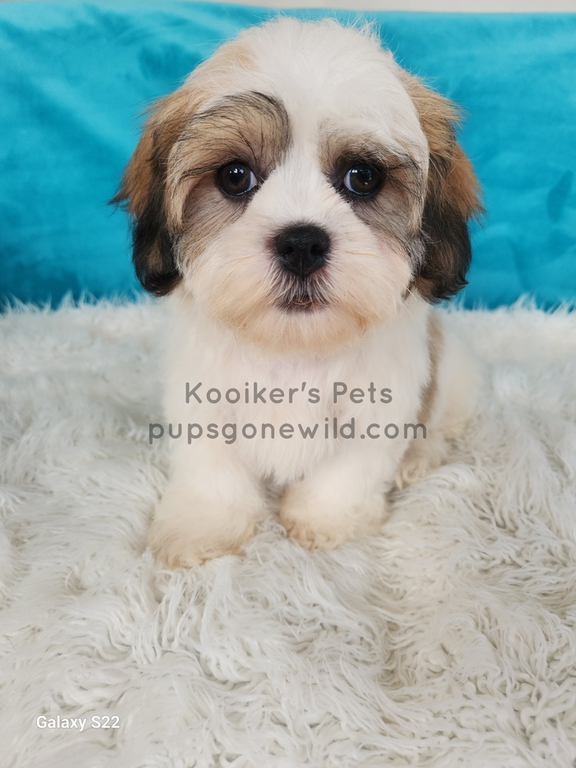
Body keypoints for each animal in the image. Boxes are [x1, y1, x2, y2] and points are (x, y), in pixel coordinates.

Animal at [114, 17, 482, 568]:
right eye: (235, 176)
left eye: (363, 177)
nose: (302, 243)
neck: (294, 348)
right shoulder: (202, 400)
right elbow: (211, 469)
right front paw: (203, 524)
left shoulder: (378, 408)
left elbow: (349, 470)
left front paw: (326, 521)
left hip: (454, 374)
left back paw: (418, 459)